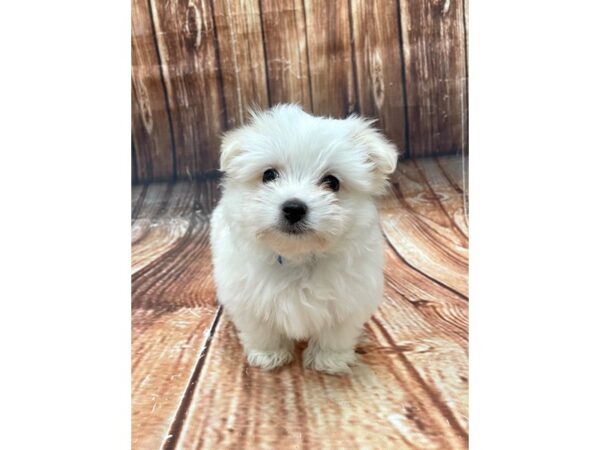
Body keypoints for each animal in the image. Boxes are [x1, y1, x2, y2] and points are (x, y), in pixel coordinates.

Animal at [211, 103, 398, 374]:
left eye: (332, 182)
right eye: (269, 175)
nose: (293, 208)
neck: (297, 258)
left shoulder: (348, 298)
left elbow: (336, 332)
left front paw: (329, 359)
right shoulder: (248, 297)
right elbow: (262, 330)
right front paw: (269, 354)